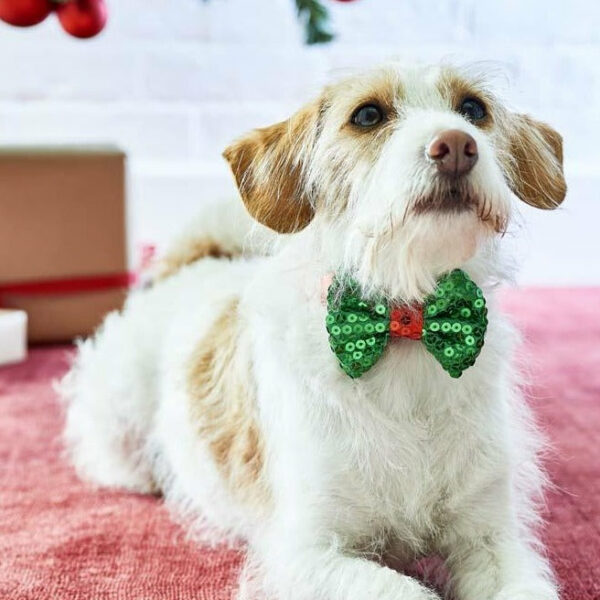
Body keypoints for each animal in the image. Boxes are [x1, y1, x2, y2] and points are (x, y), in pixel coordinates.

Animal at [61, 62, 568, 600]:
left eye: (473, 109)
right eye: (367, 115)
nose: (455, 144)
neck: (405, 330)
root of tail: (195, 264)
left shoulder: (491, 538)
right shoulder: (307, 553)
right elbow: (405, 591)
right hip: (118, 425)